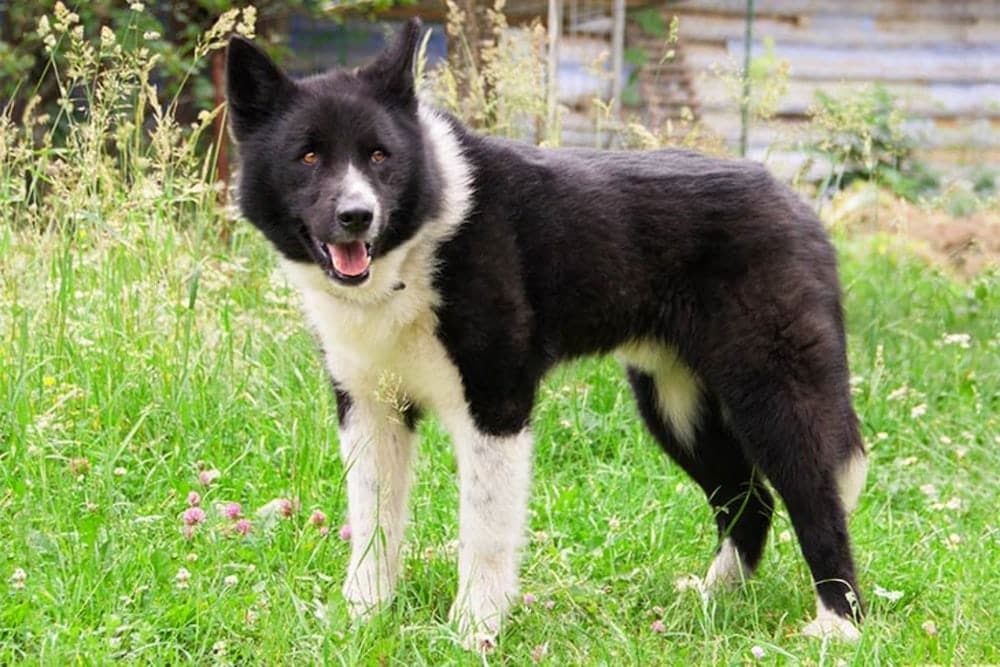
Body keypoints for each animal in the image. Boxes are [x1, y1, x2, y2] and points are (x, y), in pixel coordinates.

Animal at [227, 19, 868, 648]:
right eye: (309, 156)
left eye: (380, 155)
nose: (357, 217)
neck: (418, 247)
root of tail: (796, 205)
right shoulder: (370, 408)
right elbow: (372, 524)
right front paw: (363, 618)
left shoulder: (497, 406)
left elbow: (484, 532)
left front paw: (474, 630)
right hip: (676, 404)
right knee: (748, 500)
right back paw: (711, 601)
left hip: (771, 395)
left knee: (815, 497)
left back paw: (839, 624)